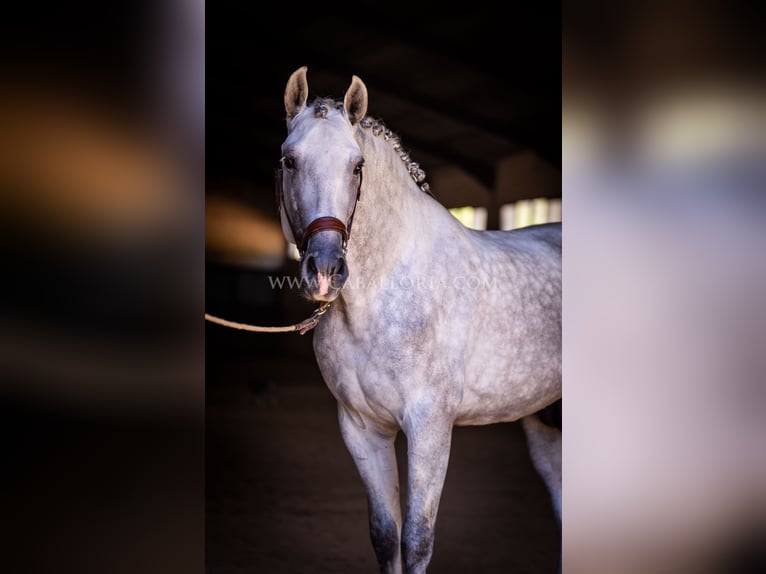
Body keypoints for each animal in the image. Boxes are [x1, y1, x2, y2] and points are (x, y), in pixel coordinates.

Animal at [278, 67, 564, 574]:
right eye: (289, 161)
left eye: (357, 166)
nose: (326, 269)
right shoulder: (362, 428)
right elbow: (385, 535)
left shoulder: (430, 427)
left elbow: (416, 539)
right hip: (546, 422)